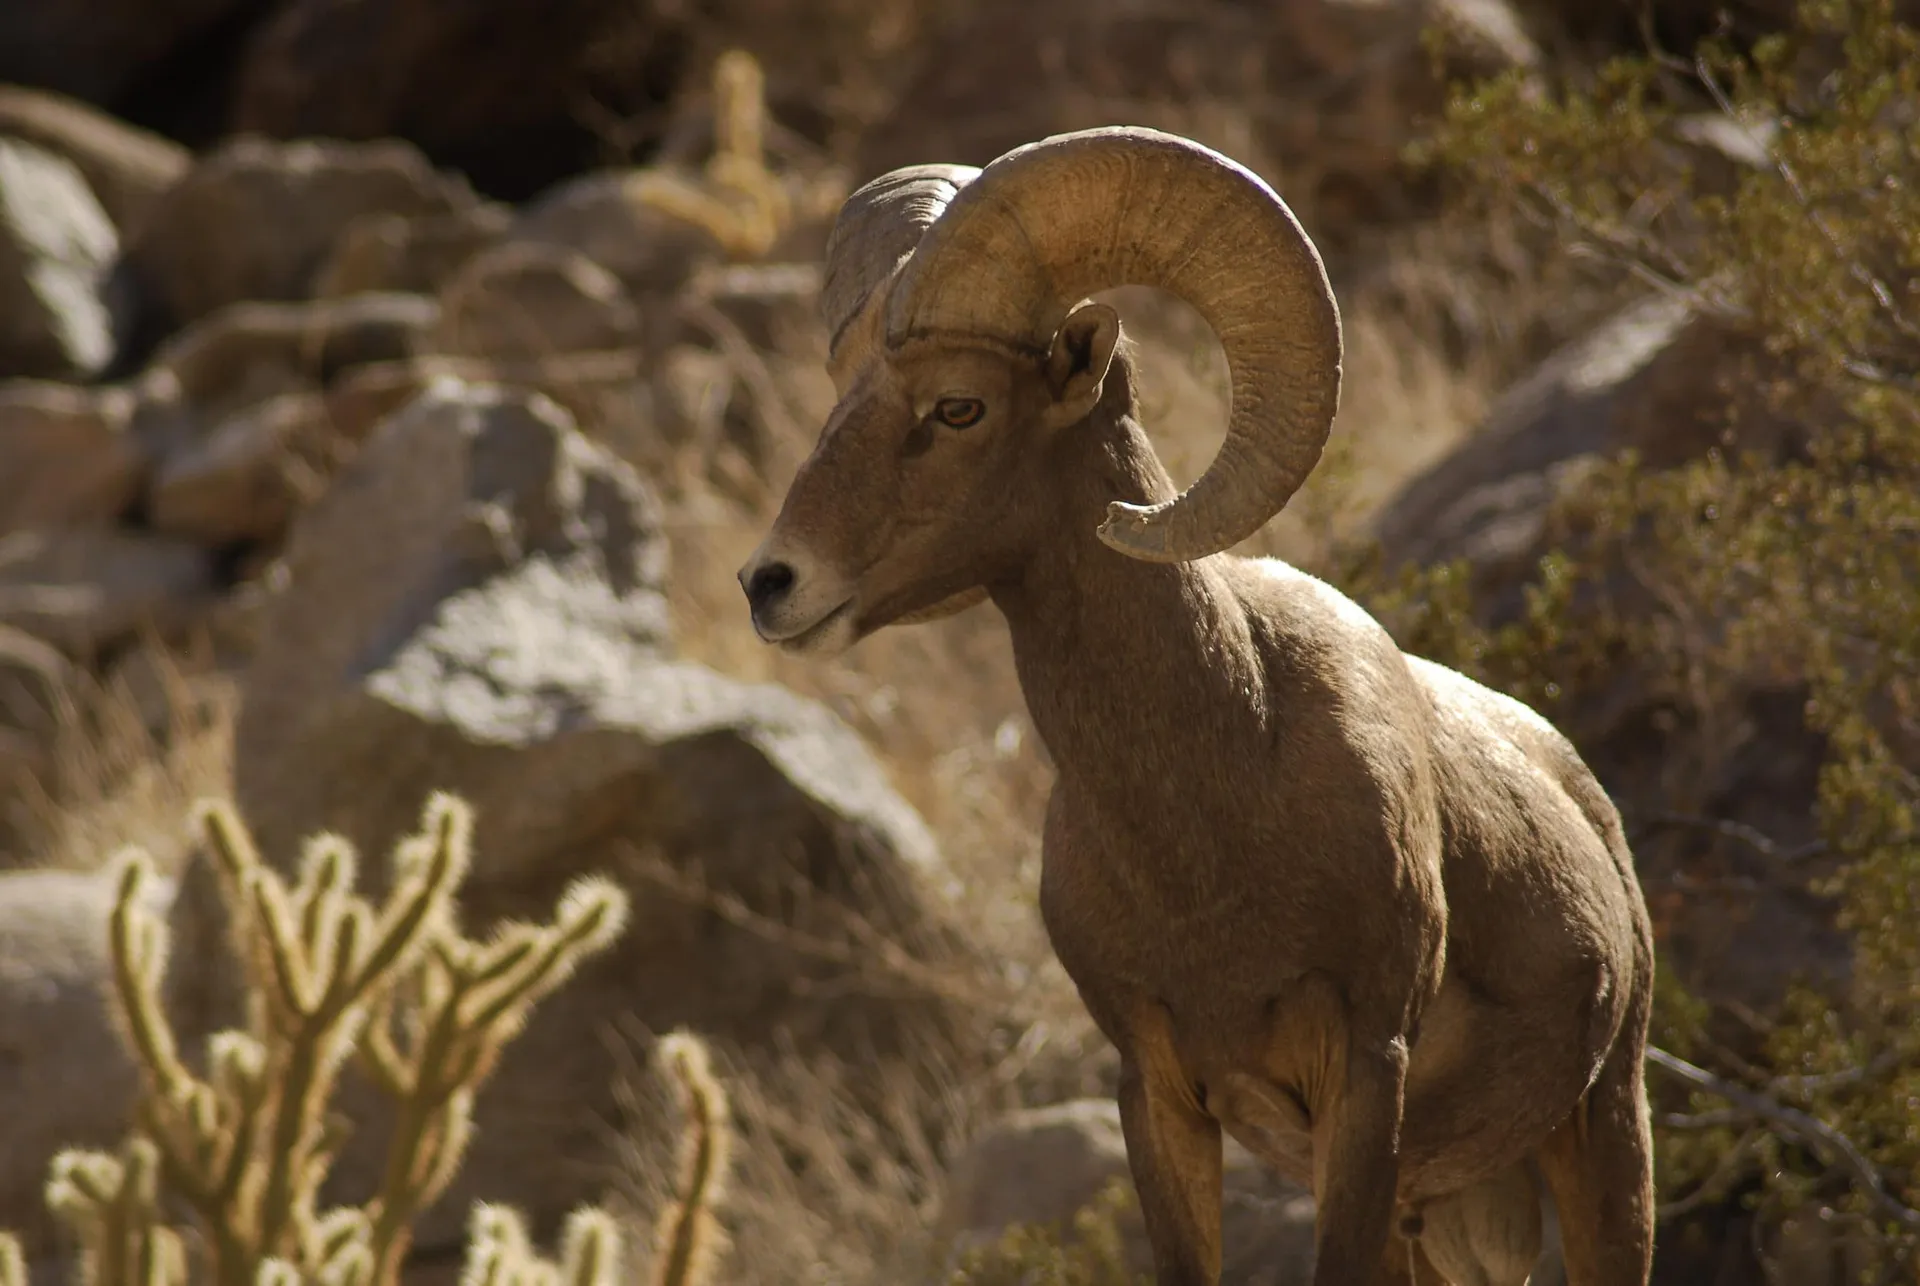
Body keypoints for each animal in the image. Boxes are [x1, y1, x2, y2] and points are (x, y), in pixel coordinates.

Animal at [736, 126, 1656, 1286]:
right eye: (840, 387)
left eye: (958, 405)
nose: (771, 584)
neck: (1214, 826)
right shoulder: (1161, 1092)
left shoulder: (1365, 1080)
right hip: (1445, 1215)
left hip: (1604, 1134)